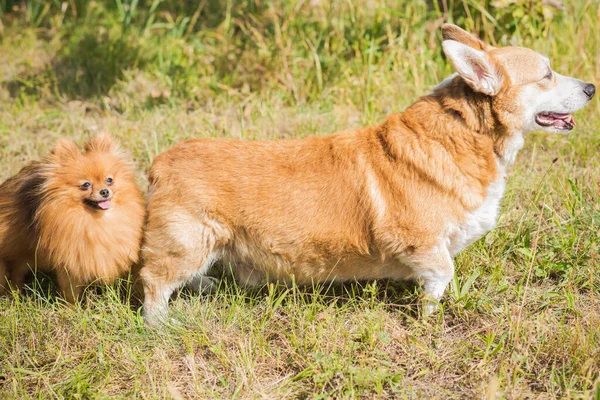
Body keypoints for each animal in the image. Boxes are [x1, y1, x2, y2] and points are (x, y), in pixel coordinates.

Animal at [0, 133, 145, 302]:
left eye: (109, 180)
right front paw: (72, 306)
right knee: (15, 271)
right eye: (86, 184)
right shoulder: (69, 260)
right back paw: (14, 294)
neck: (95, 221)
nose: (104, 191)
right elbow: (70, 291)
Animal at [138, 24, 592, 324]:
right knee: (153, 280)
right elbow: (442, 272)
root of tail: (161, 163)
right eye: (547, 74)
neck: (465, 135)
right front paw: (429, 315)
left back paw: (206, 286)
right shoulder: (420, 240)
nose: (591, 87)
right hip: (189, 242)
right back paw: (160, 324)